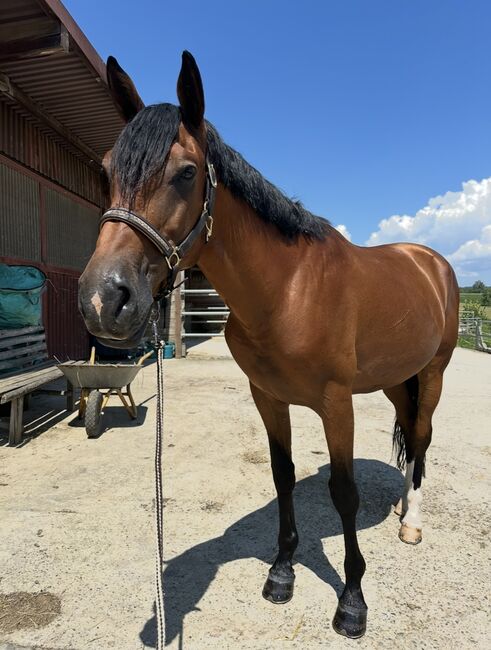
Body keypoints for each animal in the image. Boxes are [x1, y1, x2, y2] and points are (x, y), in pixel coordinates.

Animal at [79, 52, 460, 636]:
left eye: (186, 173)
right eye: (106, 171)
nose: (104, 300)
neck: (287, 290)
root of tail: (430, 261)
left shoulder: (336, 404)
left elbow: (344, 493)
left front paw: (352, 601)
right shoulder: (268, 397)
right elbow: (283, 478)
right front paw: (282, 573)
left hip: (434, 372)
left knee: (420, 438)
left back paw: (411, 522)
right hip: (397, 379)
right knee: (409, 435)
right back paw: (400, 506)